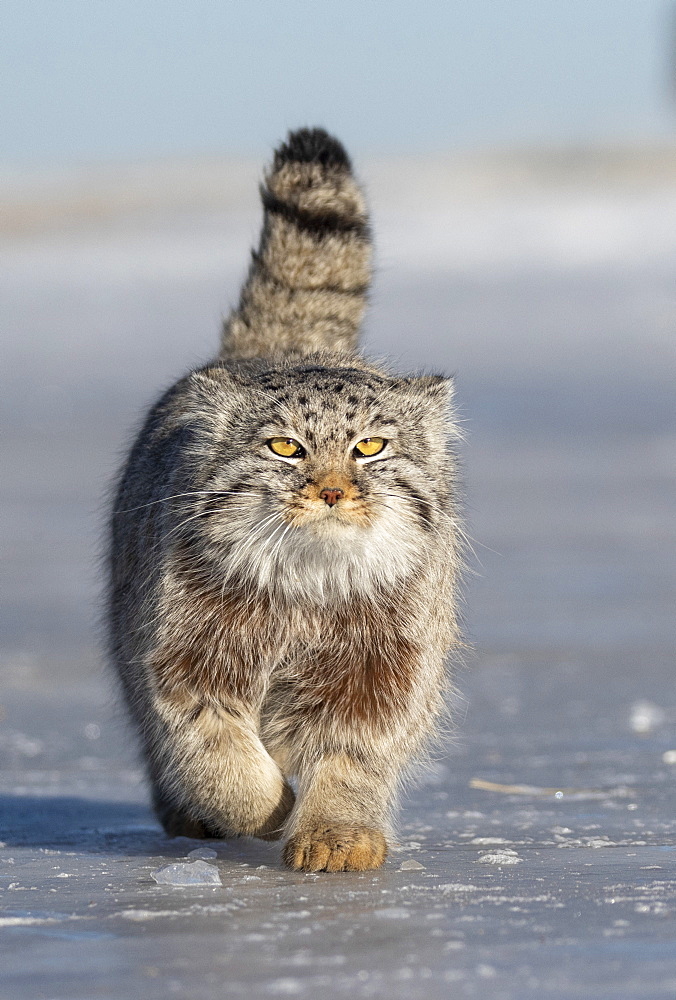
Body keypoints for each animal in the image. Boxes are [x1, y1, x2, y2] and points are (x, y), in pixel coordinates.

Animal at [108, 129, 462, 872]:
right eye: (285, 448)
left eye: (369, 447)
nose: (331, 490)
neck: (308, 590)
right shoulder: (181, 655)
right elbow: (215, 754)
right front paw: (262, 810)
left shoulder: (386, 670)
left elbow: (353, 758)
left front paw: (336, 833)